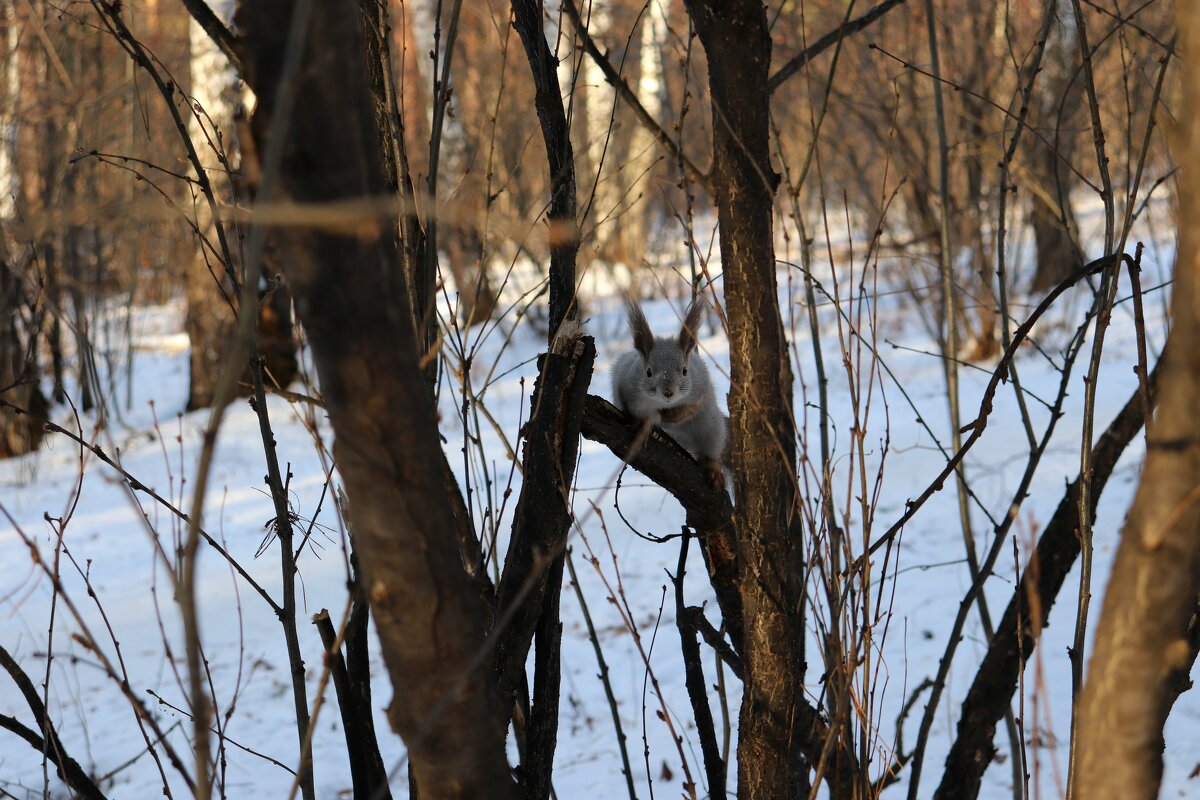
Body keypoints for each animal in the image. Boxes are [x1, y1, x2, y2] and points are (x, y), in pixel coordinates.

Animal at [614, 297, 724, 484]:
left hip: (712, 429)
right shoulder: (627, 391)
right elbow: (637, 414)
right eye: (648, 372)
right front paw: (642, 426)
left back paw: (713, 469)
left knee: (710, 452)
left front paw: (670, 416)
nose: (668, 392)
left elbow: (690, 409)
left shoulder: (700, 389)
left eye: (685, 370)